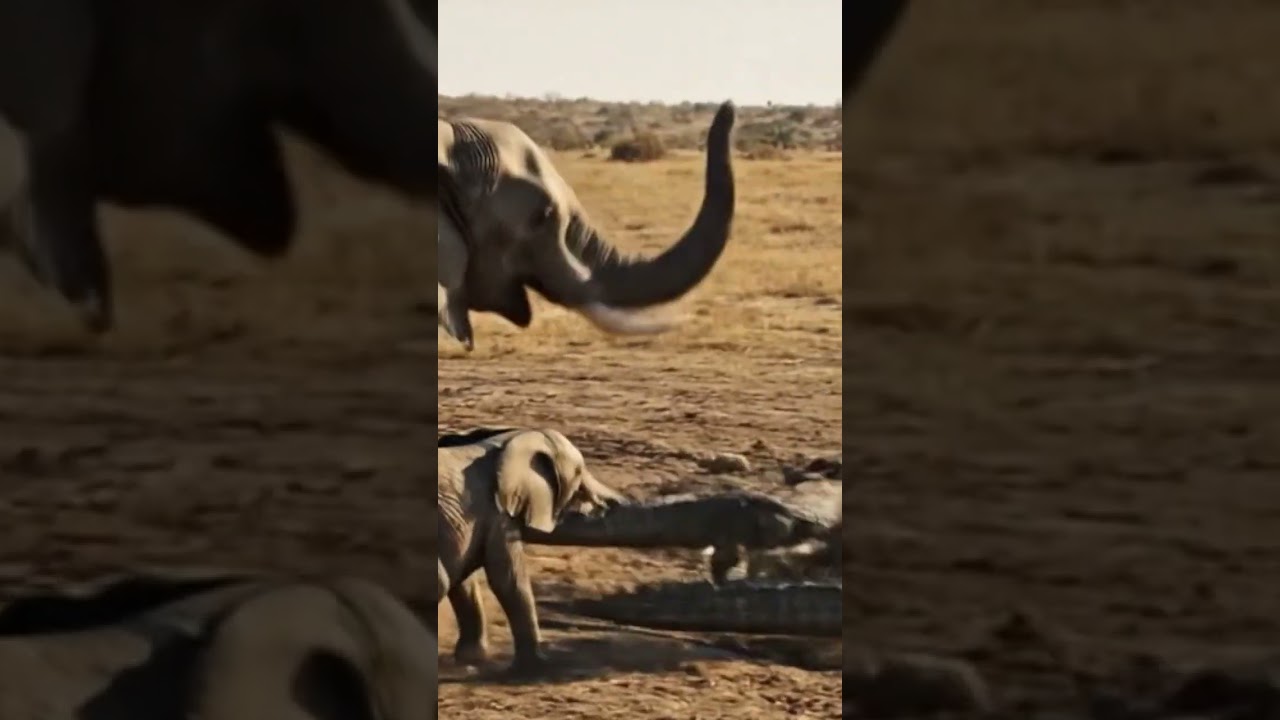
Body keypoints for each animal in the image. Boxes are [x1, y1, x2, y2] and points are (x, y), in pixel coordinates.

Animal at [435, 428, 625, 673]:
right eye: (579, 471)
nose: (603, 507)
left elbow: (464, 584)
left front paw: (471, 659)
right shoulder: (498, 513)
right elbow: (508, 579)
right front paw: (537, 665)